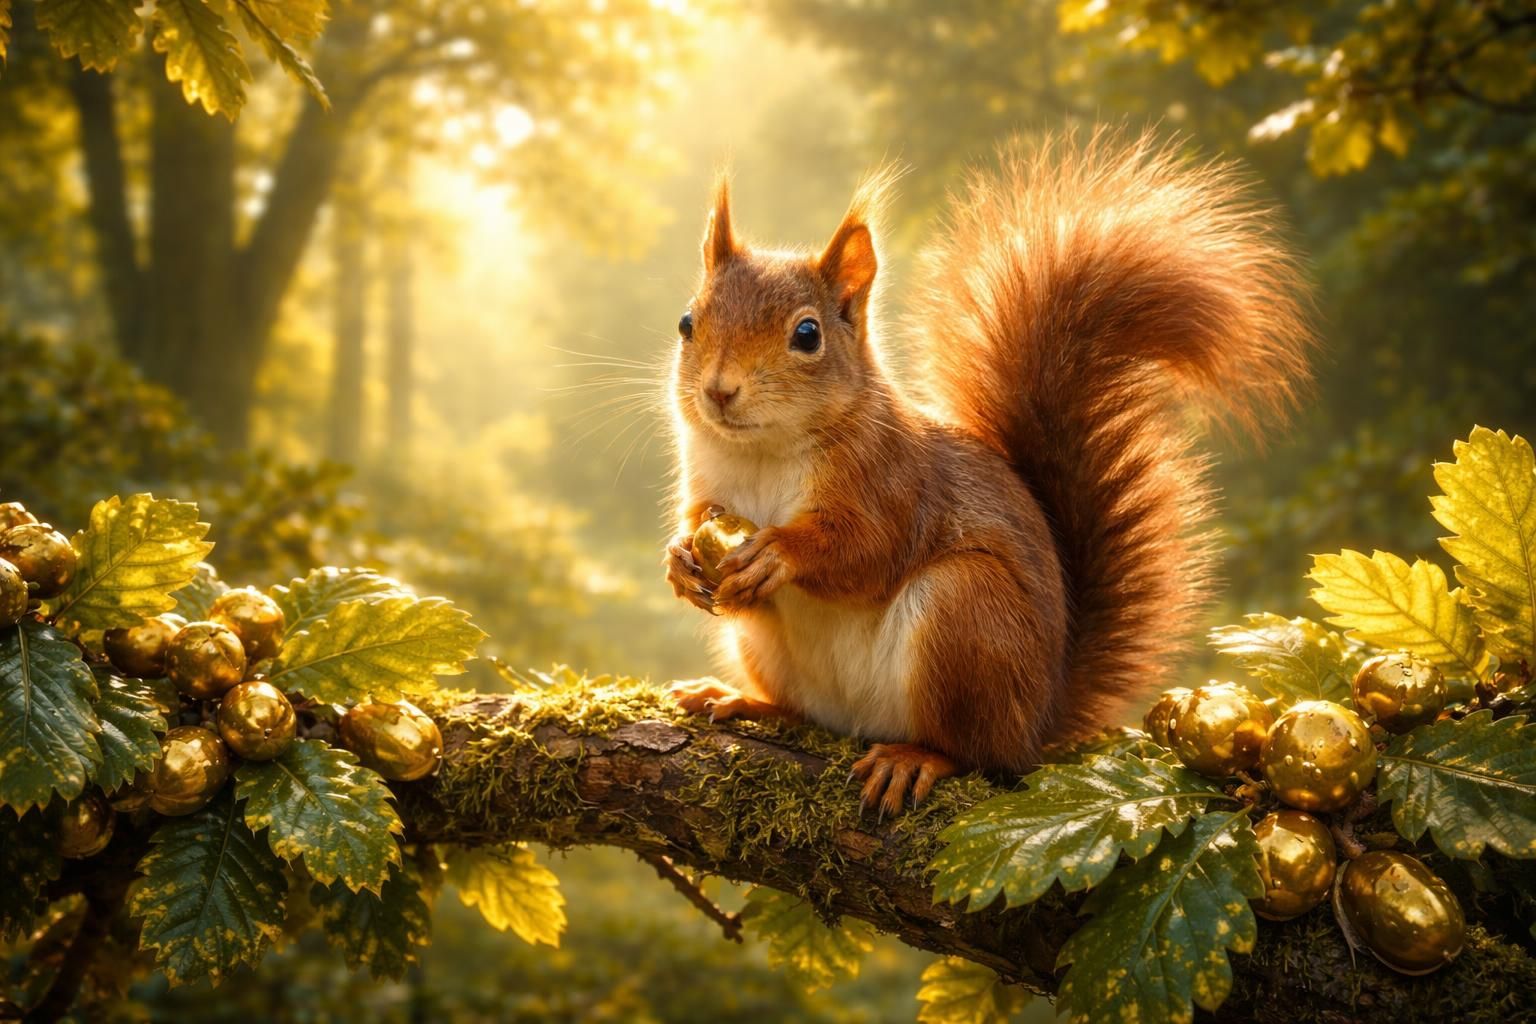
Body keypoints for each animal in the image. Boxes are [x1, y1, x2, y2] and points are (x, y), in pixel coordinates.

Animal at [663, 132, 1314, 816]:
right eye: (687, 322)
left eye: (808, 334)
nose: (720, 391)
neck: (765, 452)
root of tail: (1038, 722)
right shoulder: (706, 483)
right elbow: (693, 520)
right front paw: (679, 560)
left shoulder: (893, 480)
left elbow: (867, 548)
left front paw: (778, 554)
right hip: (769, 649)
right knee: (802, 711)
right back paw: (741, 699)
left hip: (967, 616)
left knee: (976, 753)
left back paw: (916, 757)